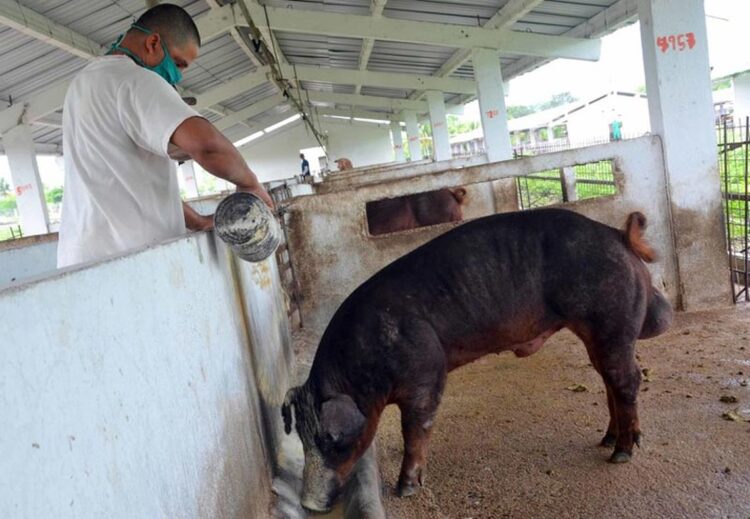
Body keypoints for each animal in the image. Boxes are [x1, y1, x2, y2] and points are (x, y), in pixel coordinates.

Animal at [282, 207, 676, 512]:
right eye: (301, 436)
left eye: (331, 439)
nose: (309, 504)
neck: (364, 372)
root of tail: (618, 235)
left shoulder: (426, 372)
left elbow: (416, 428)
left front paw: (405, 489)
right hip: (599, 331)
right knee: (609, 380)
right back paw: (607, 441)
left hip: (611, 319)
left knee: (627, 379)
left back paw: (620, 454)